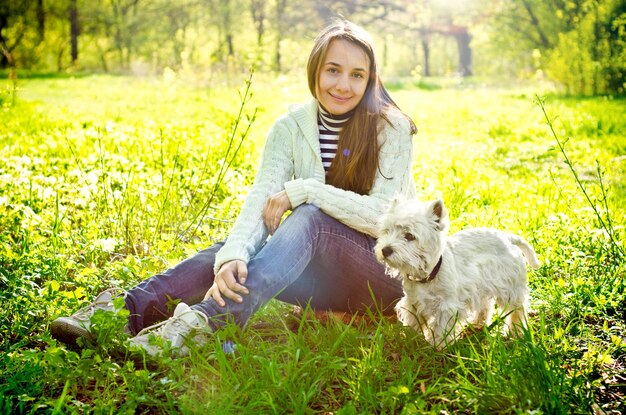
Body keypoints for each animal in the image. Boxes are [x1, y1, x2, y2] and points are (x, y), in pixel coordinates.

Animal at [372, 197, 540, 350]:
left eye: (410, 236)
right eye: (387, 231)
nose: (385, 250)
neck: (429, 275)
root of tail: (508, 238)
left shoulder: (447, 305)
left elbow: (441, 327)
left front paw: (438, 345)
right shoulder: (413, 301)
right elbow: (414, 321)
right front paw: (412, 338)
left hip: (511, 288)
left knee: (518, 310)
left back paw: (516, 332)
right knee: (486, 304)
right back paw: (478, 324)